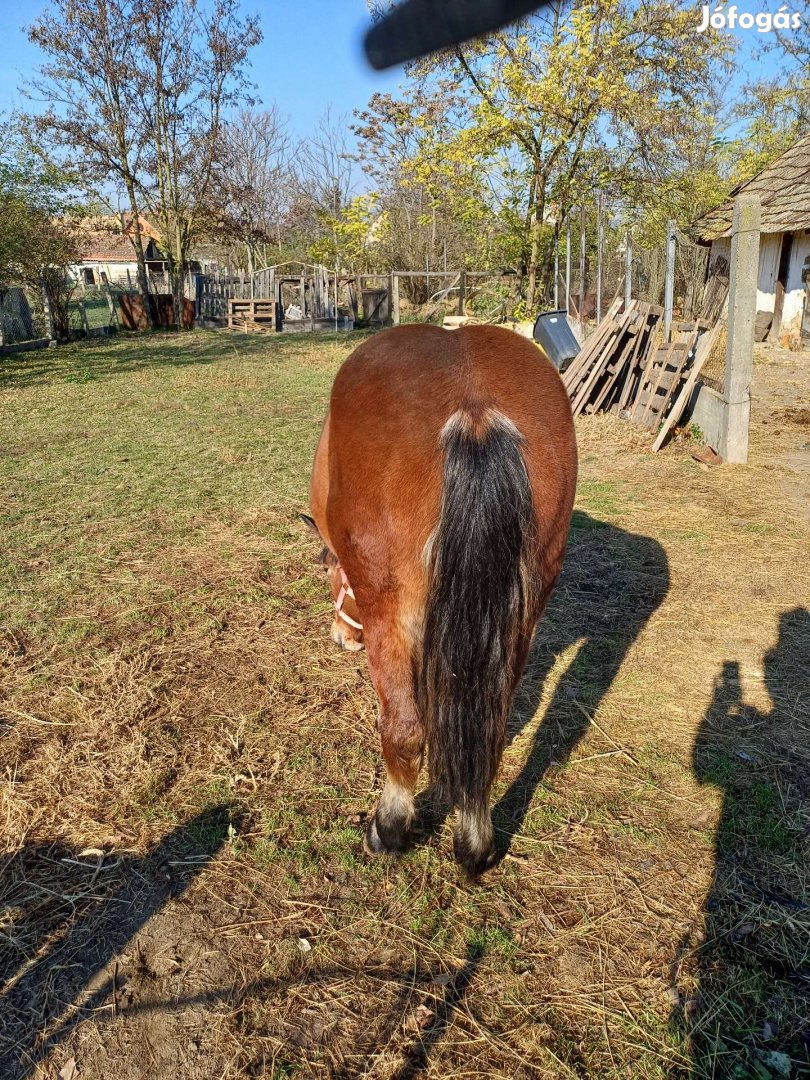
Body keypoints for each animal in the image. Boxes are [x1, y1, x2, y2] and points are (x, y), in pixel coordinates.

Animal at [304, 321, 578, 876]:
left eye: (330, 573)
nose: (340, 638)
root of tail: (475, 412)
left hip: (389, 609)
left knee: (404, 729)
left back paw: (388, 830)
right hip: (521, 616)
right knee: (488, 731)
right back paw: (476, 846)